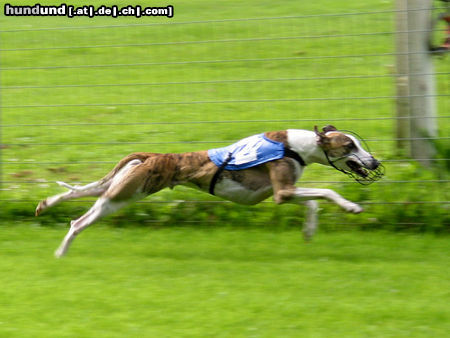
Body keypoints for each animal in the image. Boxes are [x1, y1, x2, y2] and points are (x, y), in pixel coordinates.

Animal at [34, 125, 384, 258]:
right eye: (350, 145)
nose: (375, 162)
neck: (295, 146)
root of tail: (151, 155)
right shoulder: (282, 192)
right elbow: (325, 192)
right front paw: (351, 207)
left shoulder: (283, 191)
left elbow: (313, 203)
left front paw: (309, 232)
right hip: (123, 195)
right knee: (79, 221)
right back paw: (61, 252)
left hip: (116, 186)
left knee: (77, 192)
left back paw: (45, 204)